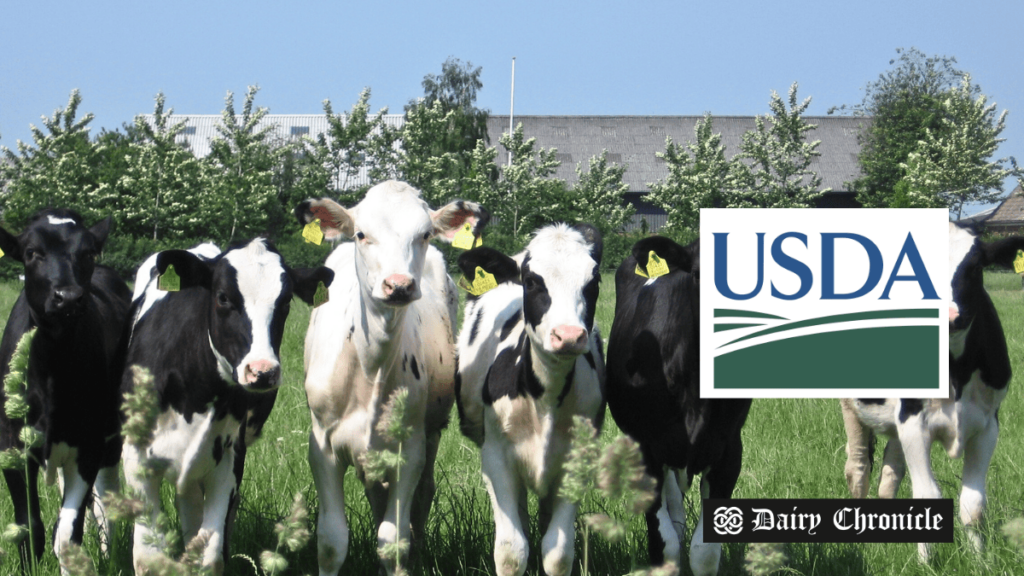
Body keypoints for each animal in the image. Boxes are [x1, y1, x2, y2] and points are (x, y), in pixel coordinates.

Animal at [0, 208, 131, 561]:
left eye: (88, 253)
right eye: (32, 252)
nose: (68, 297)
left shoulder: (88, 447)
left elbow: (67, 536)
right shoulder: (12, 448)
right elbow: (29, 529)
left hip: (111, 436)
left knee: (105, 499)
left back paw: (106, 554)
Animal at [120, 238, 331, 573]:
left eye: (285, 302)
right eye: (223, 297)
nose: (262, 371)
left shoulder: (228, 459)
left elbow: (211, 555)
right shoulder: (136, 457)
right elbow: (148, 557)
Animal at [294, 179, 489, 573]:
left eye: (425, 234)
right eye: (361, 233)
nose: (398, 285)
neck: (369, 367)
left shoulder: (409, 451)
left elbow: (393, 540)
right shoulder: (322, 446)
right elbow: (331, 541)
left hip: (430, 434)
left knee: (423, 494)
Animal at [456, 220, 606, 573]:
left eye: (593, 282)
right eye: (532, 281)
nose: (569, 335)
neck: (546, 397)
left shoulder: (577, 460)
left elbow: (557, 552)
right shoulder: (496, 457)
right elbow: (511, 550)